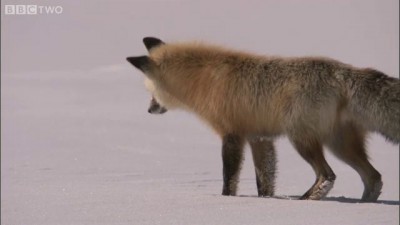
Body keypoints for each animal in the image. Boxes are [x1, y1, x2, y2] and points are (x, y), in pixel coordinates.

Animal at [127, 37, 400, 202]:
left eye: (151, 91)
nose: (149, 110)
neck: (204, 81)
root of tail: (342, 71)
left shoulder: (232, 135)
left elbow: (229, 178)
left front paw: (227, 200)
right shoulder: (259, 138)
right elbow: (265, 181)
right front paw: (266, 202)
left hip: (302, 139)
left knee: (328, 176)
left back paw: (306, 200)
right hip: (340, 145)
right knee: (373, 177)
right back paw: (364, 206)